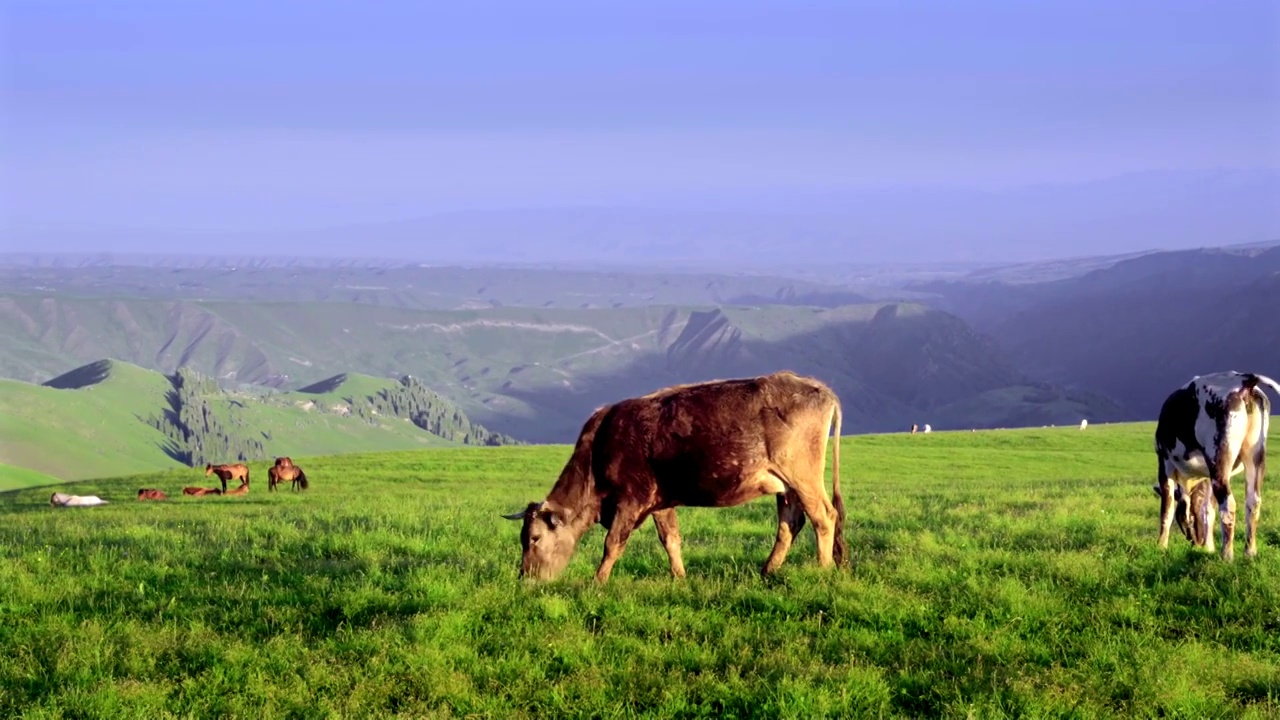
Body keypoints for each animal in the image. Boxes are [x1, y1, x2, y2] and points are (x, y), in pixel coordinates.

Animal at [501, 368, 849, 584]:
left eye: (534, 538)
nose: (525, 577)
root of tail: (818, 387)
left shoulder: (632, 498)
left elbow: (612, 543)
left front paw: (597, 581)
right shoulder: (660, 501)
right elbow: (671, 540)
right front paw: (679, 577)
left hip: (803, 475)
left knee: (824, 517)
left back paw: (822, 569)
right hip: (785, 485)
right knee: (790, 523)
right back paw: (767, 570)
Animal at [1157, 368, 1274, 561]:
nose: (1196, 542)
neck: (1190, 481)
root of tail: (1244, 379)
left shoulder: (1164, 463)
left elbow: (1166, 510)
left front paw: (1160, 546)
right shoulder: (1206, 478)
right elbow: (1208, 512)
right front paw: (1208, 547)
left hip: (1218, 458)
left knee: (1228, 504)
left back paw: (1226, 554)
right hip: (1255, 455)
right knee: (1253, 502)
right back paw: (1249, 552)